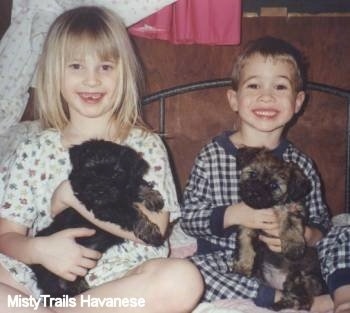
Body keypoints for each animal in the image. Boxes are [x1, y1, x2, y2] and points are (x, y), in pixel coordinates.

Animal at [30, 138, 165, 298]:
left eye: (116, 174)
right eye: (90, 170)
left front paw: (152, 196)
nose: (100, 190)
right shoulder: (105, 207)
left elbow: (135, 183)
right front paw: (150, 232)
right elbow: (131, 213)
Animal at [232, 147, 326, 310]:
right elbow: (245, 244)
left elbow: (289, 226)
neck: (269, 207)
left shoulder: (292, 209)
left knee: (303, 301)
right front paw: (243, 265)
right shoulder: (248, 224)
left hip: (300, 277)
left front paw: (293, 248)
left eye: (273, 186)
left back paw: (278, 305)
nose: (253, 193)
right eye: (253, 174)